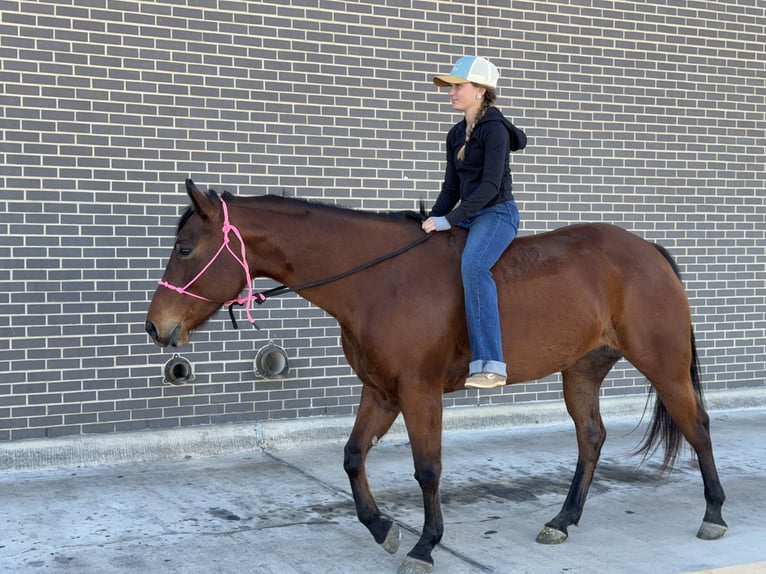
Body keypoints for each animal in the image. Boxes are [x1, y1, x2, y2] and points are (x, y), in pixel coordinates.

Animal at [145, 180, 727, 574]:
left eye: (185, 248)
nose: (156, 327)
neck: (379, 281)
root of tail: (649, 251)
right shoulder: (380, 392)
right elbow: (352, 456)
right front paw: (382, 528)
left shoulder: (418, 392)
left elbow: (427, 469)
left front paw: (425, 545)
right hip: (581, 372)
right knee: (591, 438)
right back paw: (563, 521)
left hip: (664, 365)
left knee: (697, 427)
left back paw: (714, 514)